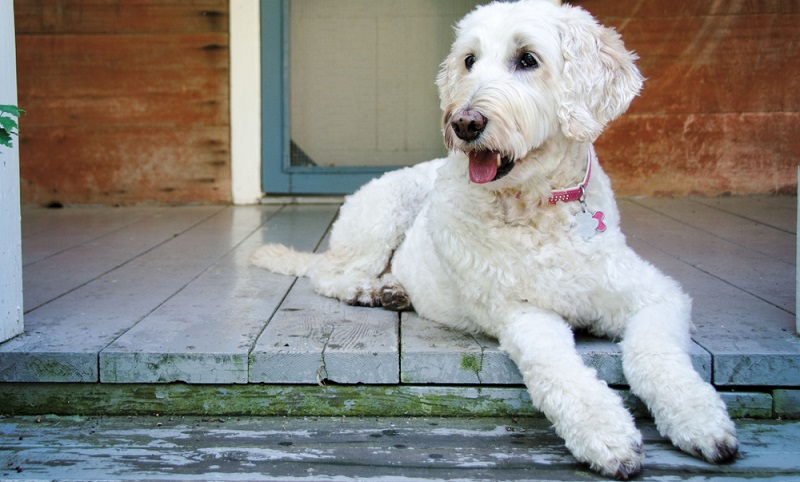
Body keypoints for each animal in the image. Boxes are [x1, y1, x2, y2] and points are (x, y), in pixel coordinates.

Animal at [253, 0, 740, 478]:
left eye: (527, 59)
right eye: (469, 60)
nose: (463, 122)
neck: (540, 207)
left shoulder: (656, 295)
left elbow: (656, 352)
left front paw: (699, 420)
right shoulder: (520, 312)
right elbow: (557, 368)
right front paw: (605, 434)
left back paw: (394, 288)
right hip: (384, 212)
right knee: (328, 273)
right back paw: (372, 290)